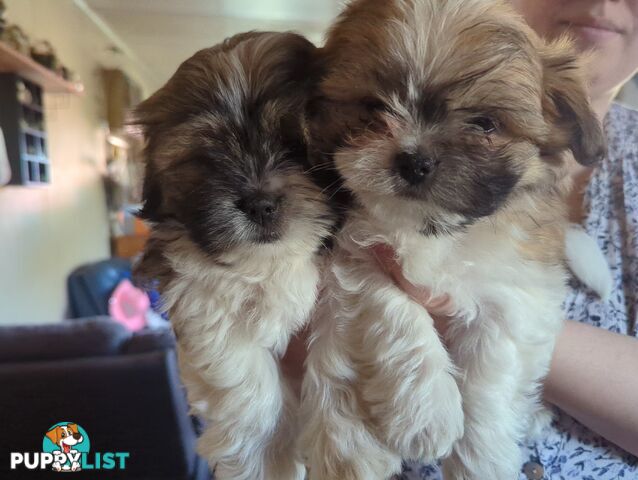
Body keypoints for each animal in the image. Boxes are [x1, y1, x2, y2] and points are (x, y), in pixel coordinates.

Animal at [135, 31, 336, 480]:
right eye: (206, 159)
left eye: (297, 146)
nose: (260, 204)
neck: (272, 263)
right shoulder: (197, 298)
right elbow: (242, 374)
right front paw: (263, 460)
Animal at [302, 0, 608, 480]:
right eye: (373, 108)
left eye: (485, 123)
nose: (414, 159)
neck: (437, 230)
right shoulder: (357, 253)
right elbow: (393, 309)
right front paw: (426, 412)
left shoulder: (515, 293)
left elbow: (490, 375)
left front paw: (481, 459)